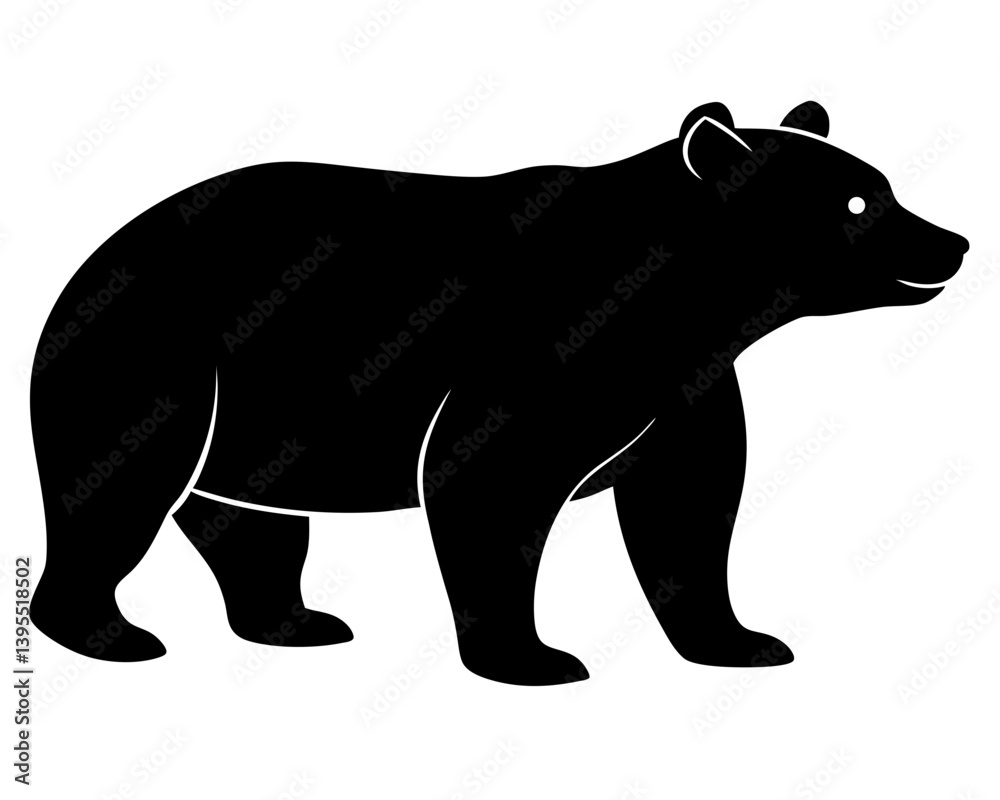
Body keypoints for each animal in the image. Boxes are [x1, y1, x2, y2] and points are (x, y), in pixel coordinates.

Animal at [28, 101, 968, 686]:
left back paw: (295, 620)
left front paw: (742, 642)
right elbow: (490, 483)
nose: (954, 242)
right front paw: (535, 658)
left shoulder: (682, 383)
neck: (676, 298)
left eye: (885, 184)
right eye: (857, 202)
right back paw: (110, 635)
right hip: (157, 360)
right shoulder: (544, 350)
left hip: (252, 415)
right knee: (115, 493)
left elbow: (688, 508)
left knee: (249, 523)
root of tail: (90, 258)